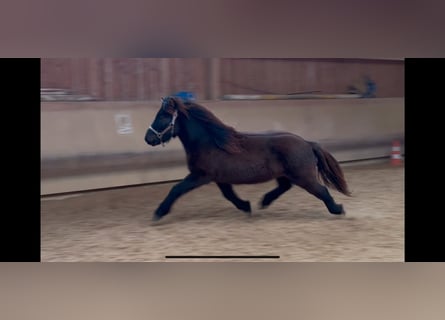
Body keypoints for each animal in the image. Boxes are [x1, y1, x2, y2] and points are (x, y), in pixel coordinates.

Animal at [144, 97, 348, 221]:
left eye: (163, 116)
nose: (148, 138)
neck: (208, 142)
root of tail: (307, 143)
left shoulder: (201, 176)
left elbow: (176, 189)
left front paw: (158, 213)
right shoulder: (219, 178)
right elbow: (229, 195)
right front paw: (246, 206)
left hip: (304, 177)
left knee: (321, 190)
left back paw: (338, 209)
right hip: (286, 175)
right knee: (284, 187)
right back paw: (264, 202)